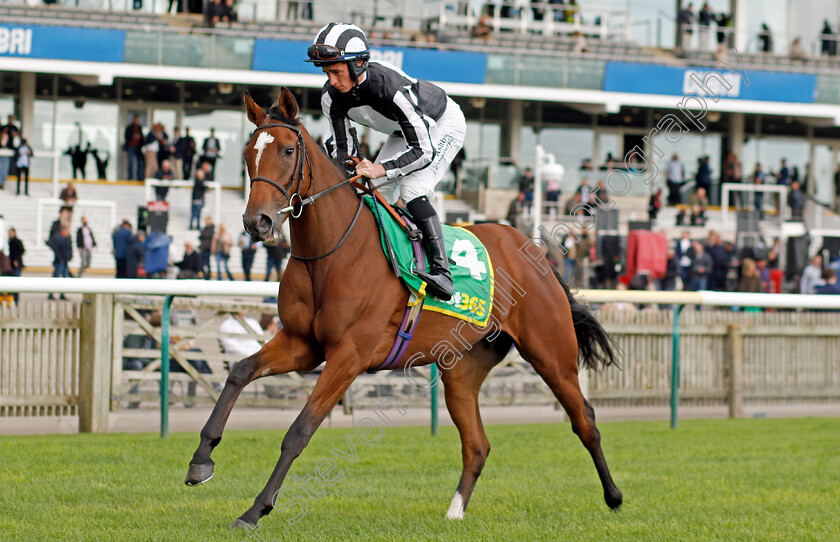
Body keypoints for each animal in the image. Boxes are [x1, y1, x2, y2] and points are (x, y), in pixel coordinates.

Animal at [187, 90, 620, 532]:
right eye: (247, 154)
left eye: (288, 150)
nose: (255, 222)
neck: (331, 252)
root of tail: (534, 251)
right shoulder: (302, 343)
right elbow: (239, 371)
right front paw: (201, 462)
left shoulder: (350, 355)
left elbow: (300, 430)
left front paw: (255, 509)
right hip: (462, 371)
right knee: (477, 444)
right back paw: (454, 511)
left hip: (551, 354)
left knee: (585, 420)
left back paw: (614, 497)